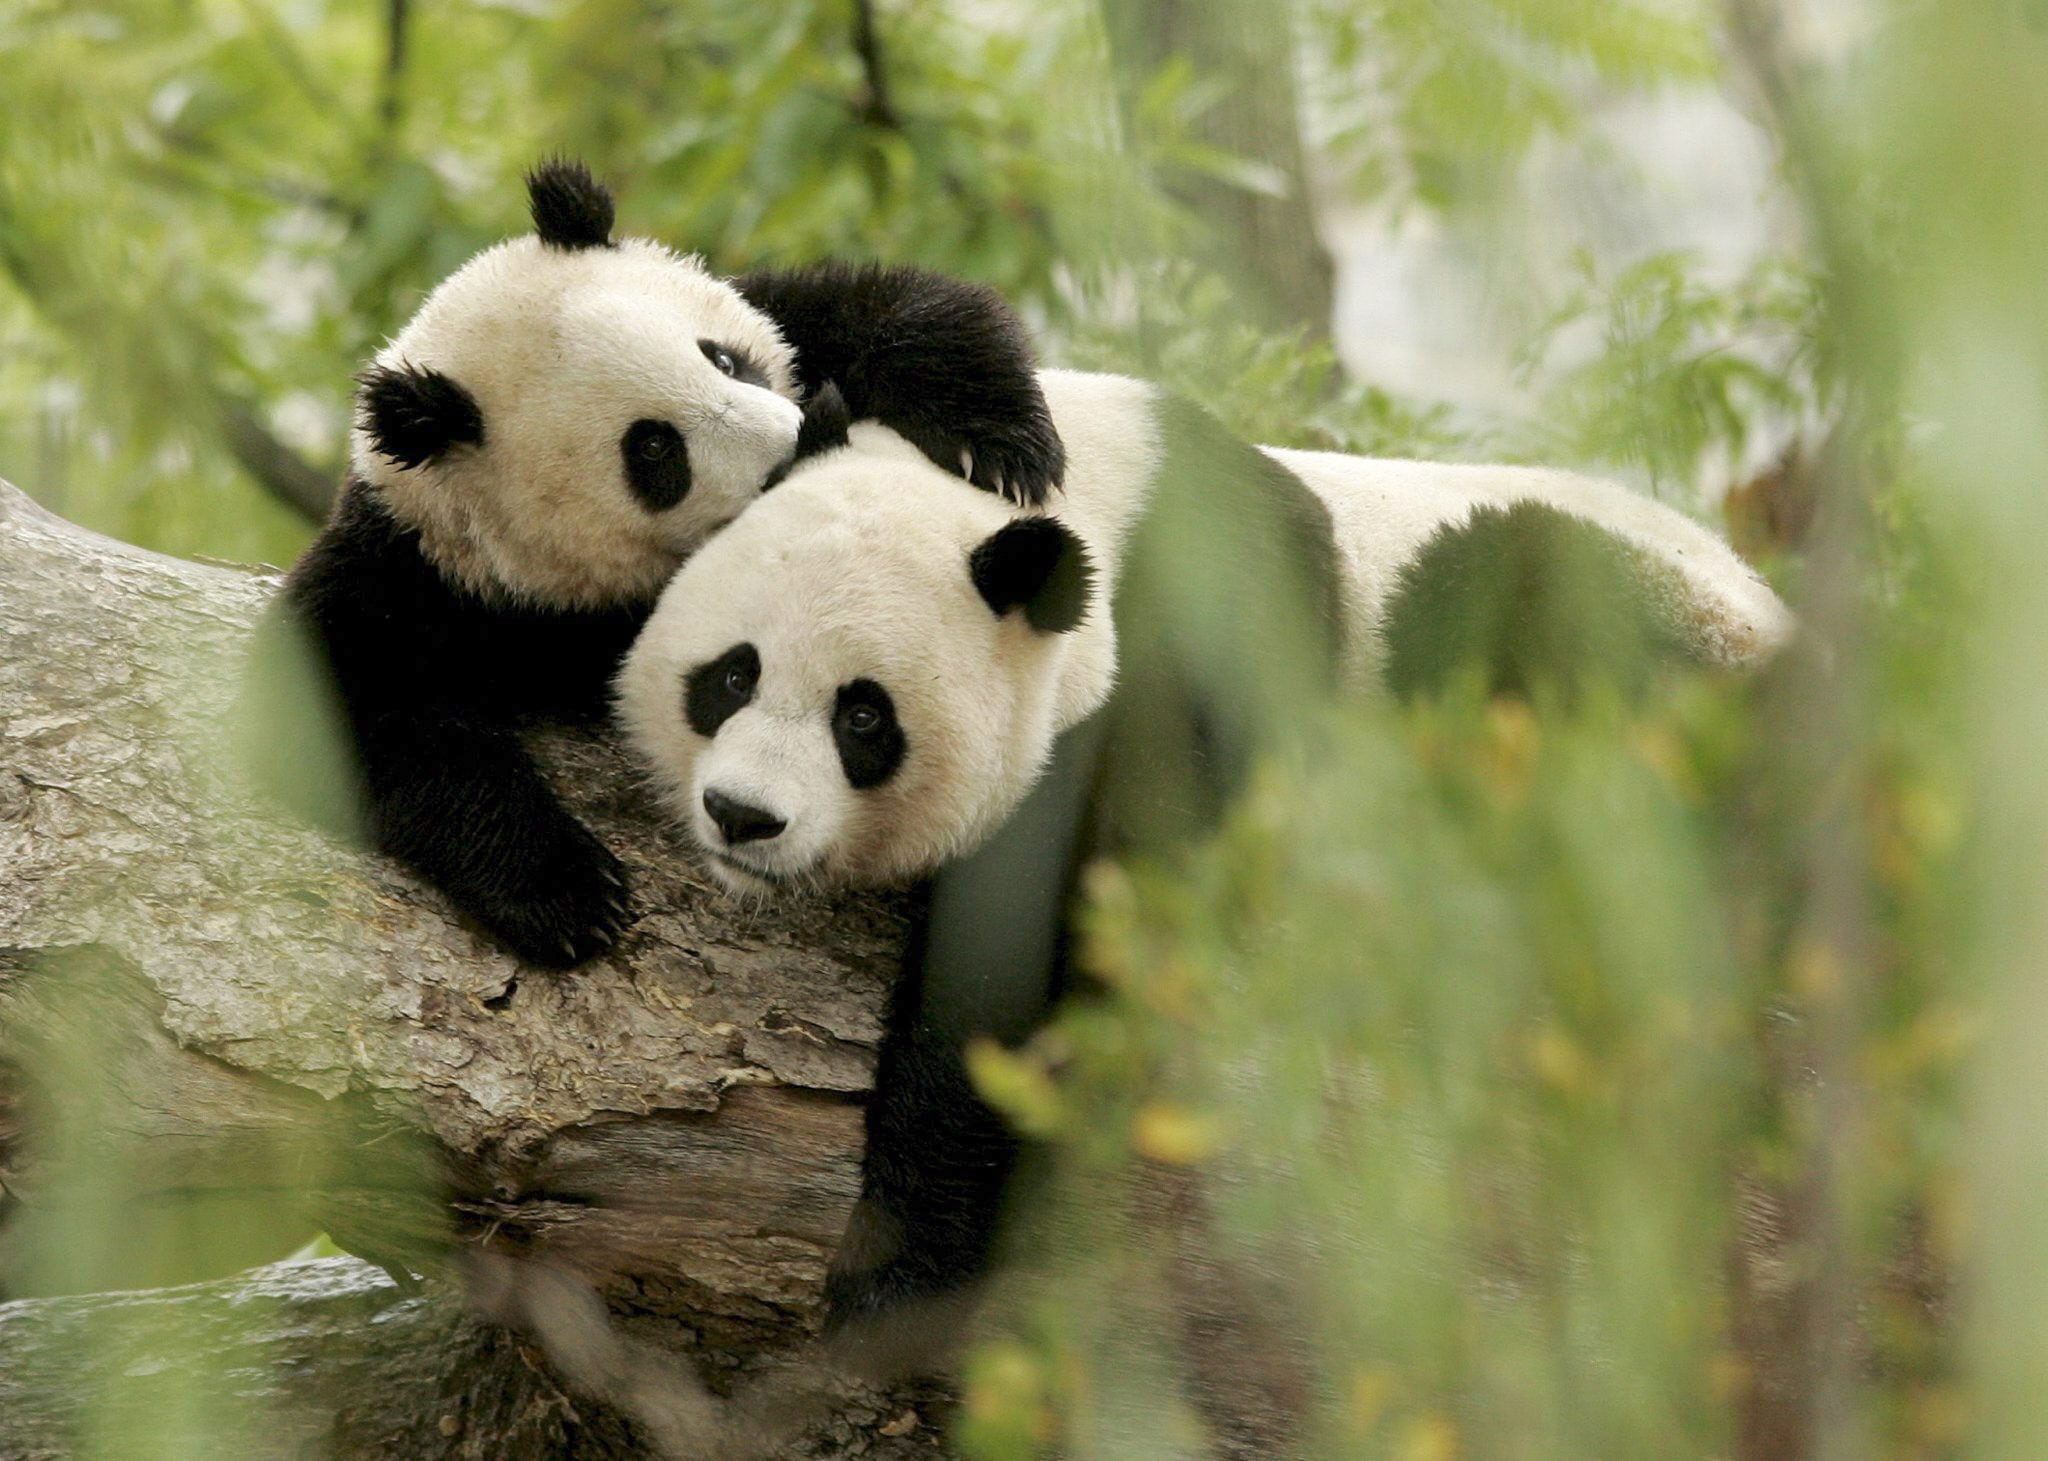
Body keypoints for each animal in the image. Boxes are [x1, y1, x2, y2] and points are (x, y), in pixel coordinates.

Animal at [250, 160, 1064, 969]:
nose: (793, 450)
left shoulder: (794, 325)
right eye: (653, 450)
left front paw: (998, 444)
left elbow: (880, 307)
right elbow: (341, 705)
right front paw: (568, 892)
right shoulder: (422, 575)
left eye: (724, 358)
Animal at [613, 368, 1792, 1366]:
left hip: (1660, 636)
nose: (742, 817)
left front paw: (893, 1273)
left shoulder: (1188, 651)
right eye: (730, 675)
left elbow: (1058, 942)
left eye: (862, 718)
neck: (1077, 514)